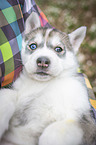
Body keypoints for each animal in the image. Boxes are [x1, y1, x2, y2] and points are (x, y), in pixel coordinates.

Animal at [0, 12, 95, 145]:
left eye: (58, 49)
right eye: (33, 46)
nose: (43, 61)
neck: (43, 85)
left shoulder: (84, 120)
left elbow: (57, 130)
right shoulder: (17, 90)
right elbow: (7, 93)